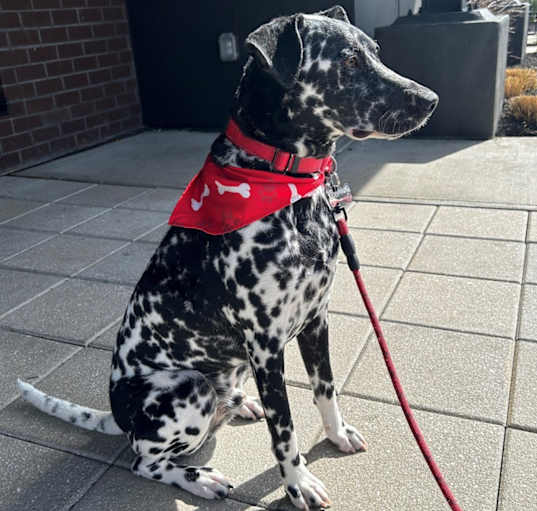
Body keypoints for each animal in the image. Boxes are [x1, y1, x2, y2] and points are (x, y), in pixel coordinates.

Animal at [17, 6, 436, 510]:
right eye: (348, 61)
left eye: (375, 52)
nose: (431, 100)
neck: (287, 187)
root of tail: (120, 420)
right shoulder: (267, 346)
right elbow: (285, 432)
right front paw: (297, 485)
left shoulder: (316, 321)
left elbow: (326, 391)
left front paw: (335, 435)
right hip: (188, 387)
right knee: (144, 463)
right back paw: (199, 478)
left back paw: (241, 405)